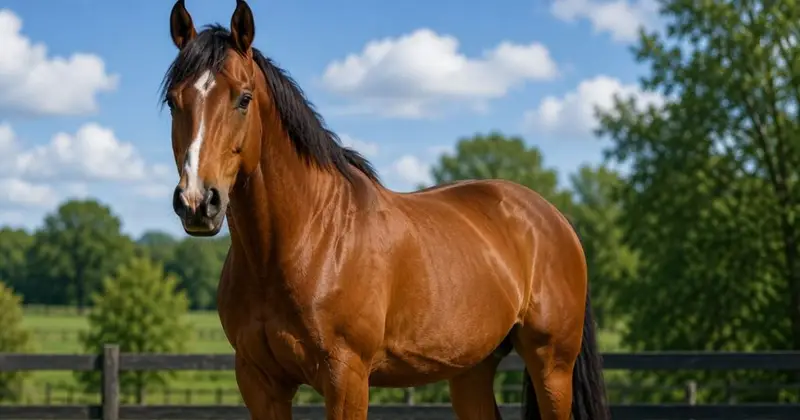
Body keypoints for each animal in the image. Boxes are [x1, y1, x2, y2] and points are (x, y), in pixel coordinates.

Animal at [161, 1, 610, 418]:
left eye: (244, 98)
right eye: (173, 101)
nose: (198, 202)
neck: (305, 240)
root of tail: (554, 218)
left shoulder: (346, 378)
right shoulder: (259, 383)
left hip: (551, 365)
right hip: (472, 369)